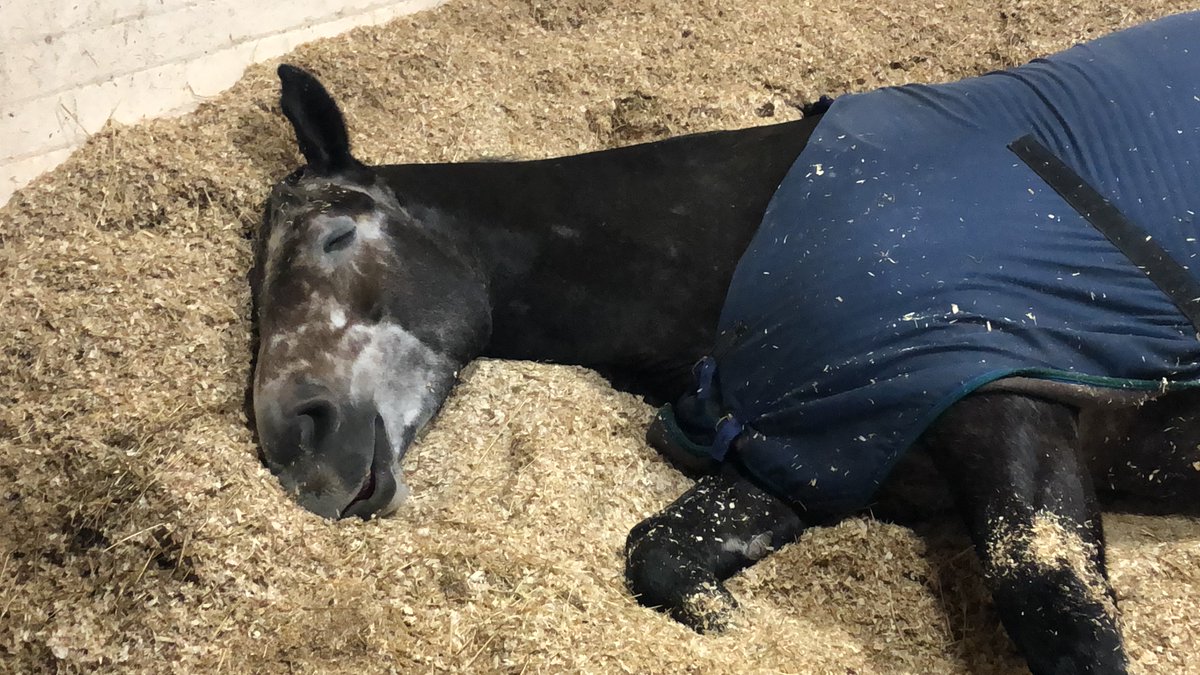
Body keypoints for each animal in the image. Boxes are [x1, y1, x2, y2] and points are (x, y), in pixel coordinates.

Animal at [251, 14, 1200, 674]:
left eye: (336, 236)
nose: (294, 441)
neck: (747, 241)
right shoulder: (822, 442)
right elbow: (660, 553)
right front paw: (726, 622)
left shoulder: (1001, 392)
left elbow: (1058, 609)